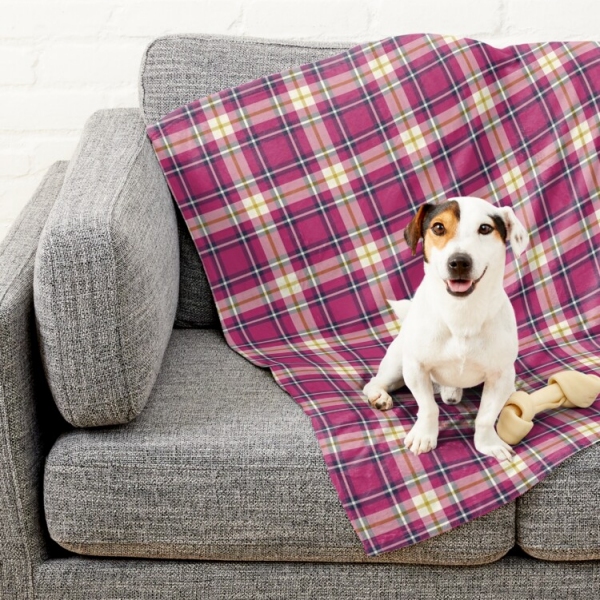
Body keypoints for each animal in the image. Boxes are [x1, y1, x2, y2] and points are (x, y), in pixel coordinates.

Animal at [364, 199, 528, 462]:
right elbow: (428, 408)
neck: (461, 314)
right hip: (397, 364)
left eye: (485, 228)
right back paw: (379, 396)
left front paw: (488, 444)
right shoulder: (416, 368)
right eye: (438, 227)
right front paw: (424, 436)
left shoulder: (500, 375)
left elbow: (486, 416)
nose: (459, 261)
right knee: (373, 382)